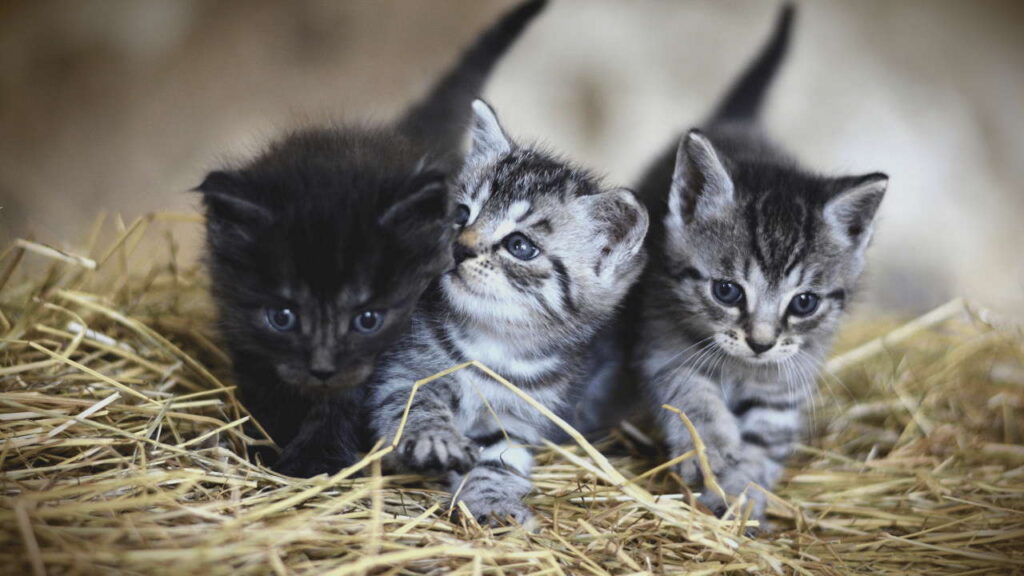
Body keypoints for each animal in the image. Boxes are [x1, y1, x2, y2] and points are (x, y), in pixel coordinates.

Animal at [200, 0, 552, 475]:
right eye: (282, 316)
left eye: (368, 319)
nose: (323, 368)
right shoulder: (244, 332)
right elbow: (266, 387)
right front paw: (268, 442)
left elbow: (349, 401)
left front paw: (317, 460)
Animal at [368, 99, 647, 524]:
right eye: (461, 214)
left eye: (520, 246)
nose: (461, 248)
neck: (494, 342)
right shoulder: (402, 371)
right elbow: (413, 403)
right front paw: (435, 437)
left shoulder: (519, 418)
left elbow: (499, 460)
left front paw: (493, 502)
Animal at [630, 4, 888, 524]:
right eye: (727, 291)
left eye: (804, 303)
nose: (761, 342)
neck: (740, 368)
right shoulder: (661, 341)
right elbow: (692, 396)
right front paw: (714, 453)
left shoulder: (788, 377)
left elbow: (766, 436)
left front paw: (744, 491)